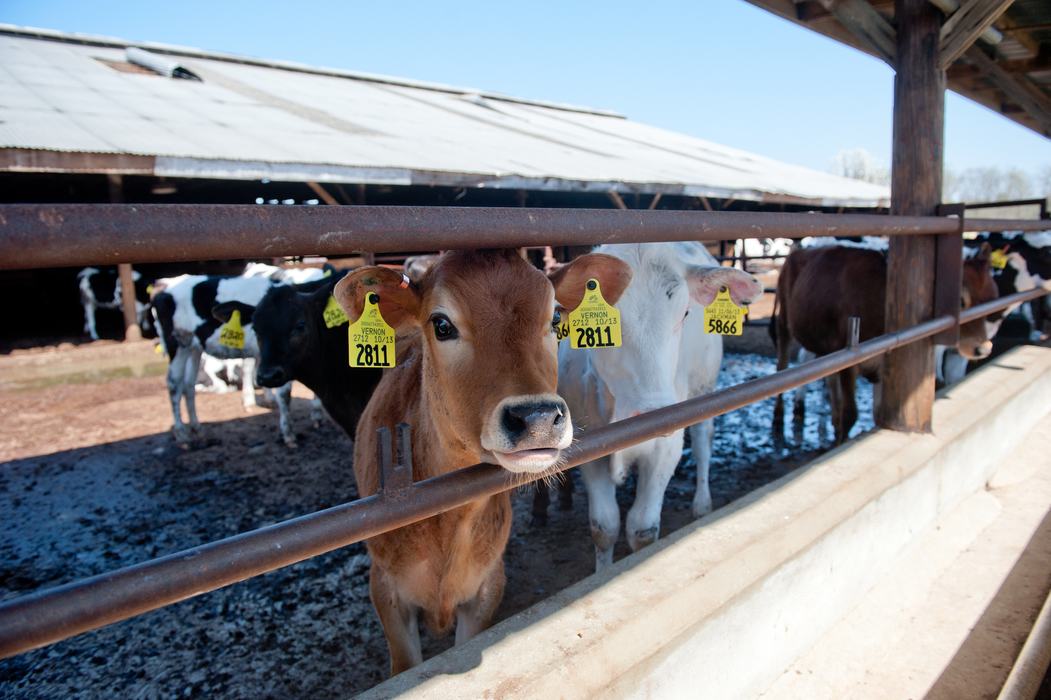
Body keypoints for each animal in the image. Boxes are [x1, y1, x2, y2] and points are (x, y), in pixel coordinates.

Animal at [151, 265, 326, 446]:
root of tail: (164, 289)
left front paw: (316, 415)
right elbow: (285, 394)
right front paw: (288, 434)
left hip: (193, 347)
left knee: (188, 384)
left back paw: (197, 429)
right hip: (177, 343)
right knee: (174, 384)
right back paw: (181, 435)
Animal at [334, 249, 631, 674]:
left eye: (556, 318)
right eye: (441, 324)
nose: (538, 418)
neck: (447, 520)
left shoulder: (487, 586)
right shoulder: (386, 589)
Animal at [558, 242, 764, 571]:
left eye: (685, 313)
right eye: (598, 323)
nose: (655, 414)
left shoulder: (666, 447)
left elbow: (642, 528)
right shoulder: (589, 448)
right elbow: (604, 527)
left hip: (704, 386)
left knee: (703, 442)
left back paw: (702, 504)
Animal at [772, 242, 999, 444]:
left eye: (991, 297)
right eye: (960, 300)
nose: (983, 348)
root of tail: (798, 251)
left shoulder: (881, 365)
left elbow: (876, 414)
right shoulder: (850, 359)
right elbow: (851, 414)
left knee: (829, 379)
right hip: (784, 324)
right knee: (782, 365)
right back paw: (779, 418)